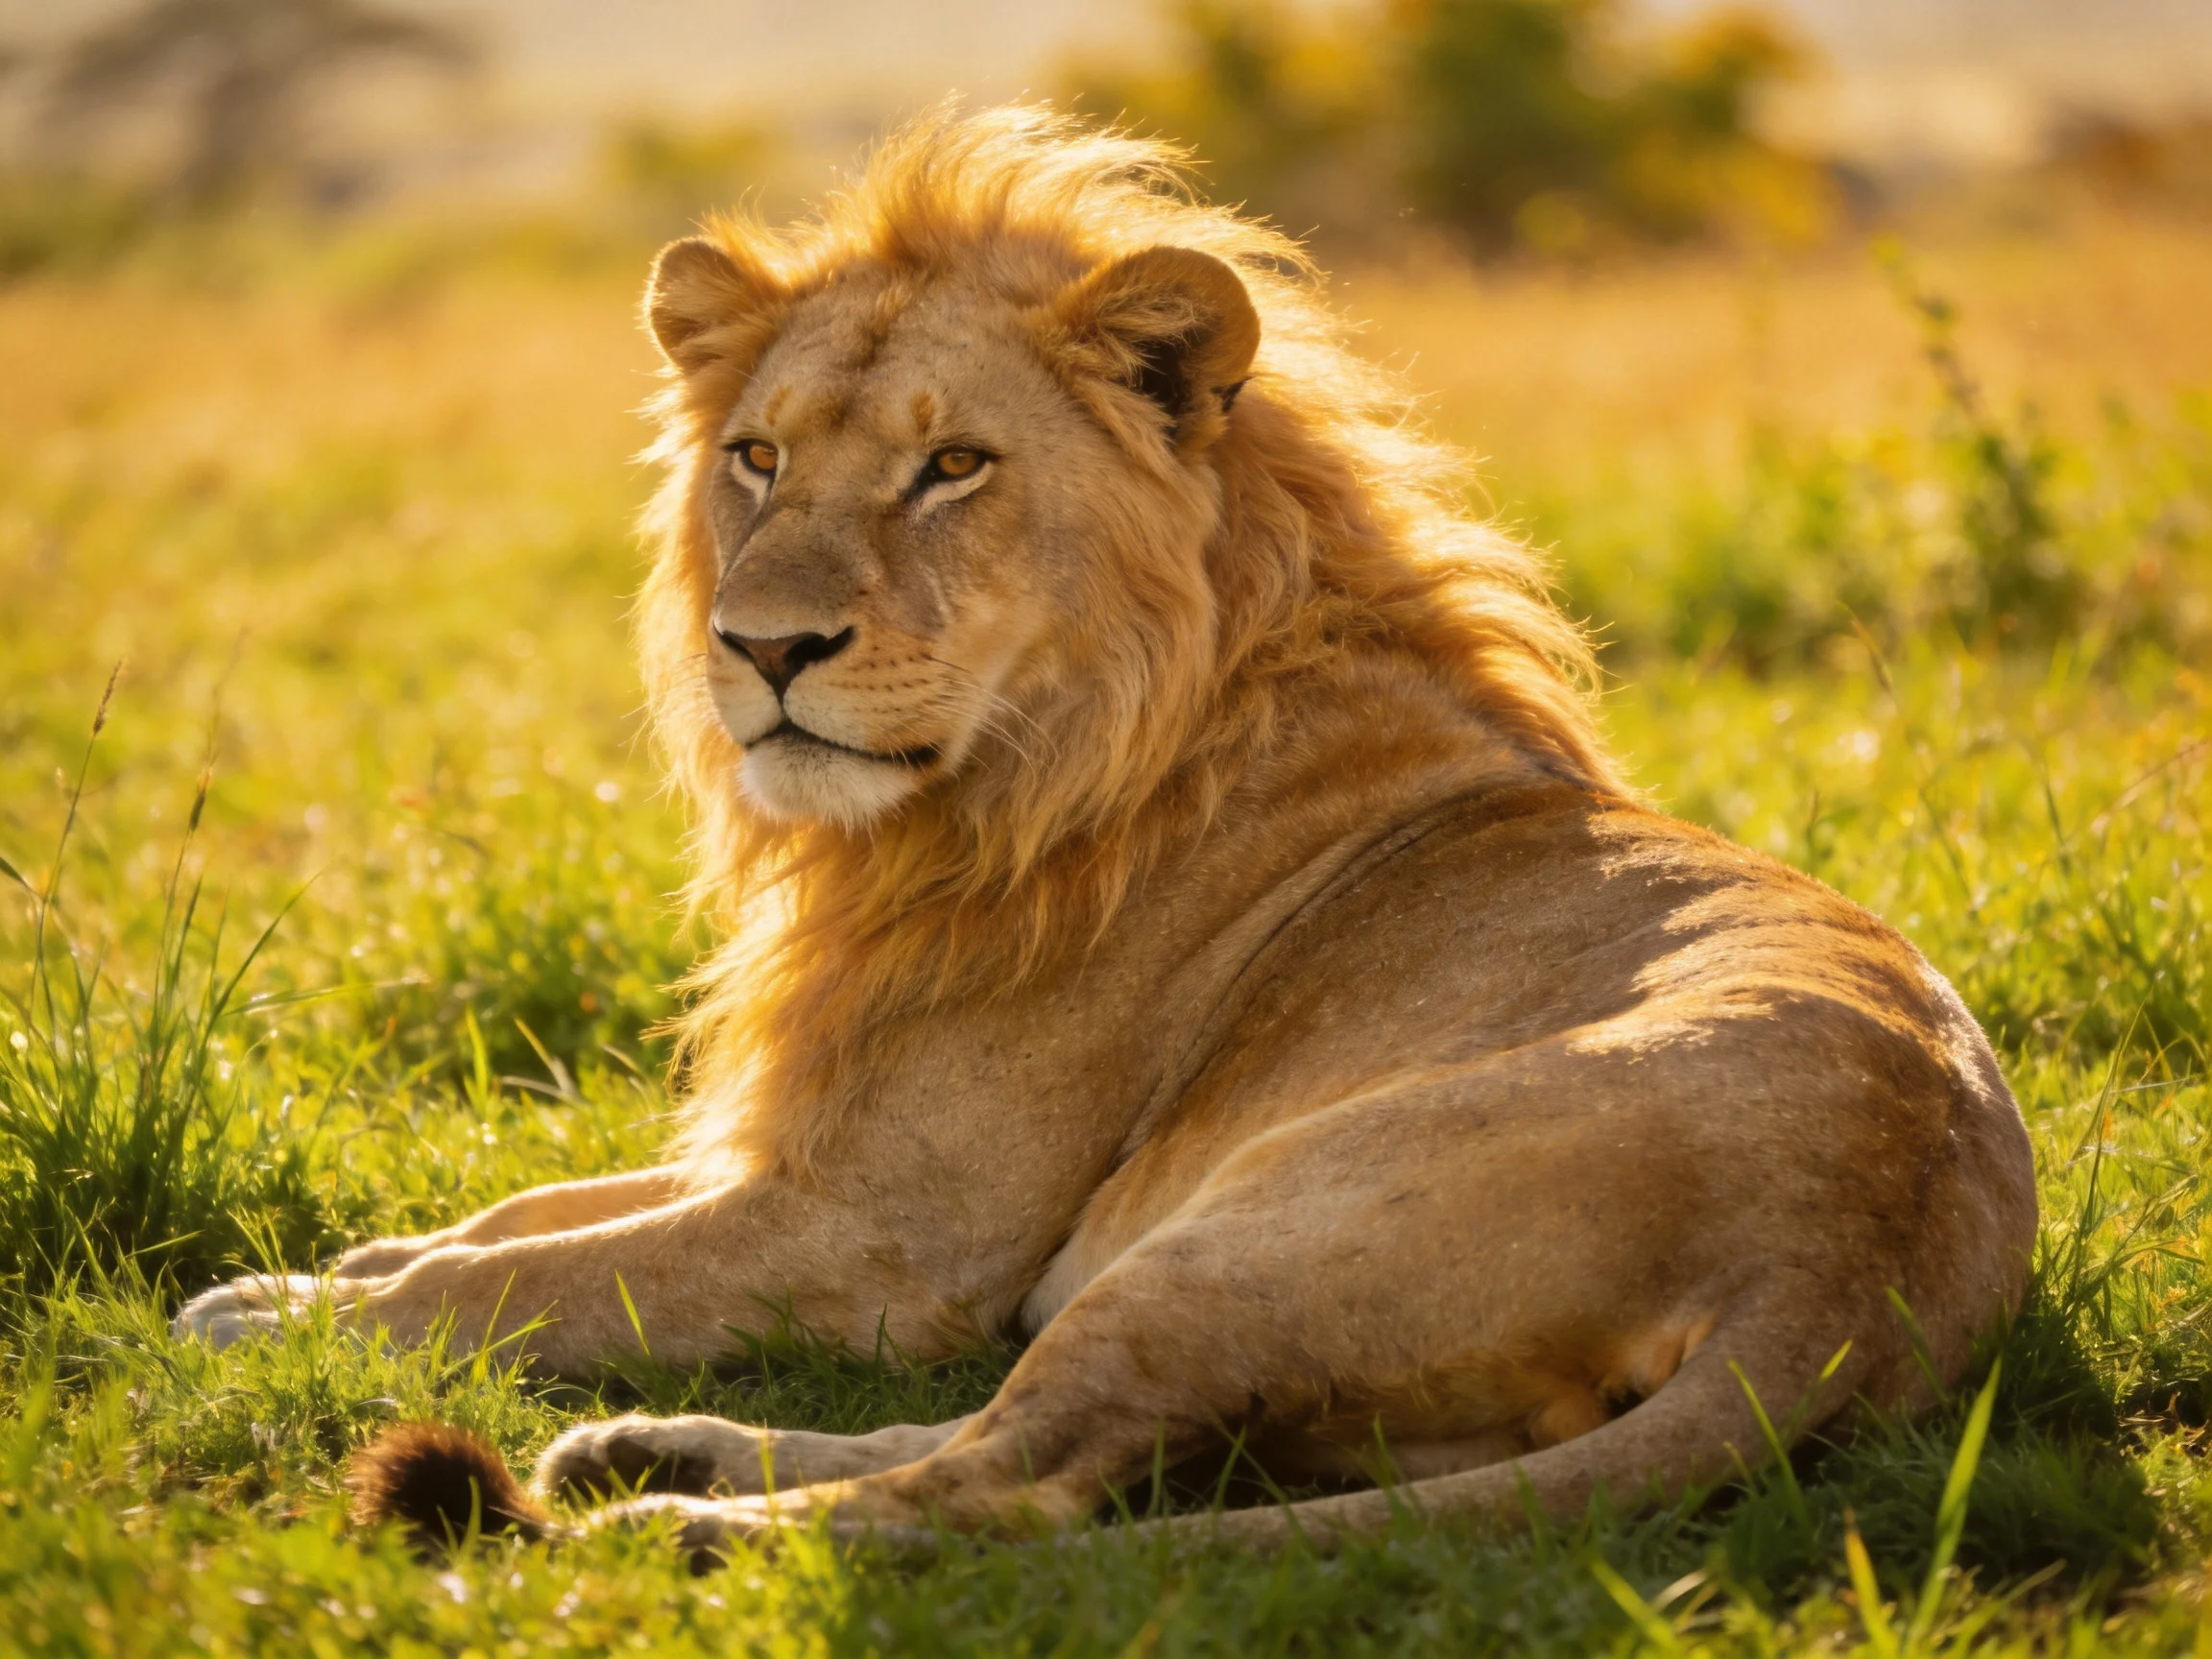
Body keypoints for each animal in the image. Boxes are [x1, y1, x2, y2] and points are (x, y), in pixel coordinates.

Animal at [177, 107, 2037, 1555]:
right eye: (756, 457)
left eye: (952, 467)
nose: (762, 648)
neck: (997, 792)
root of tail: (1842, 1271)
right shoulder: (808, 1155)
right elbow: (531, 1214)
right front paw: (340, 1263)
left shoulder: (881, 1236)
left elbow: (531, 1283)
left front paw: (279, 1316)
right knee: (1007, 1439)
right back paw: (651, 1450)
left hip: (1249, 1223)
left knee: (1003, 1483)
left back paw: (672, 1523)